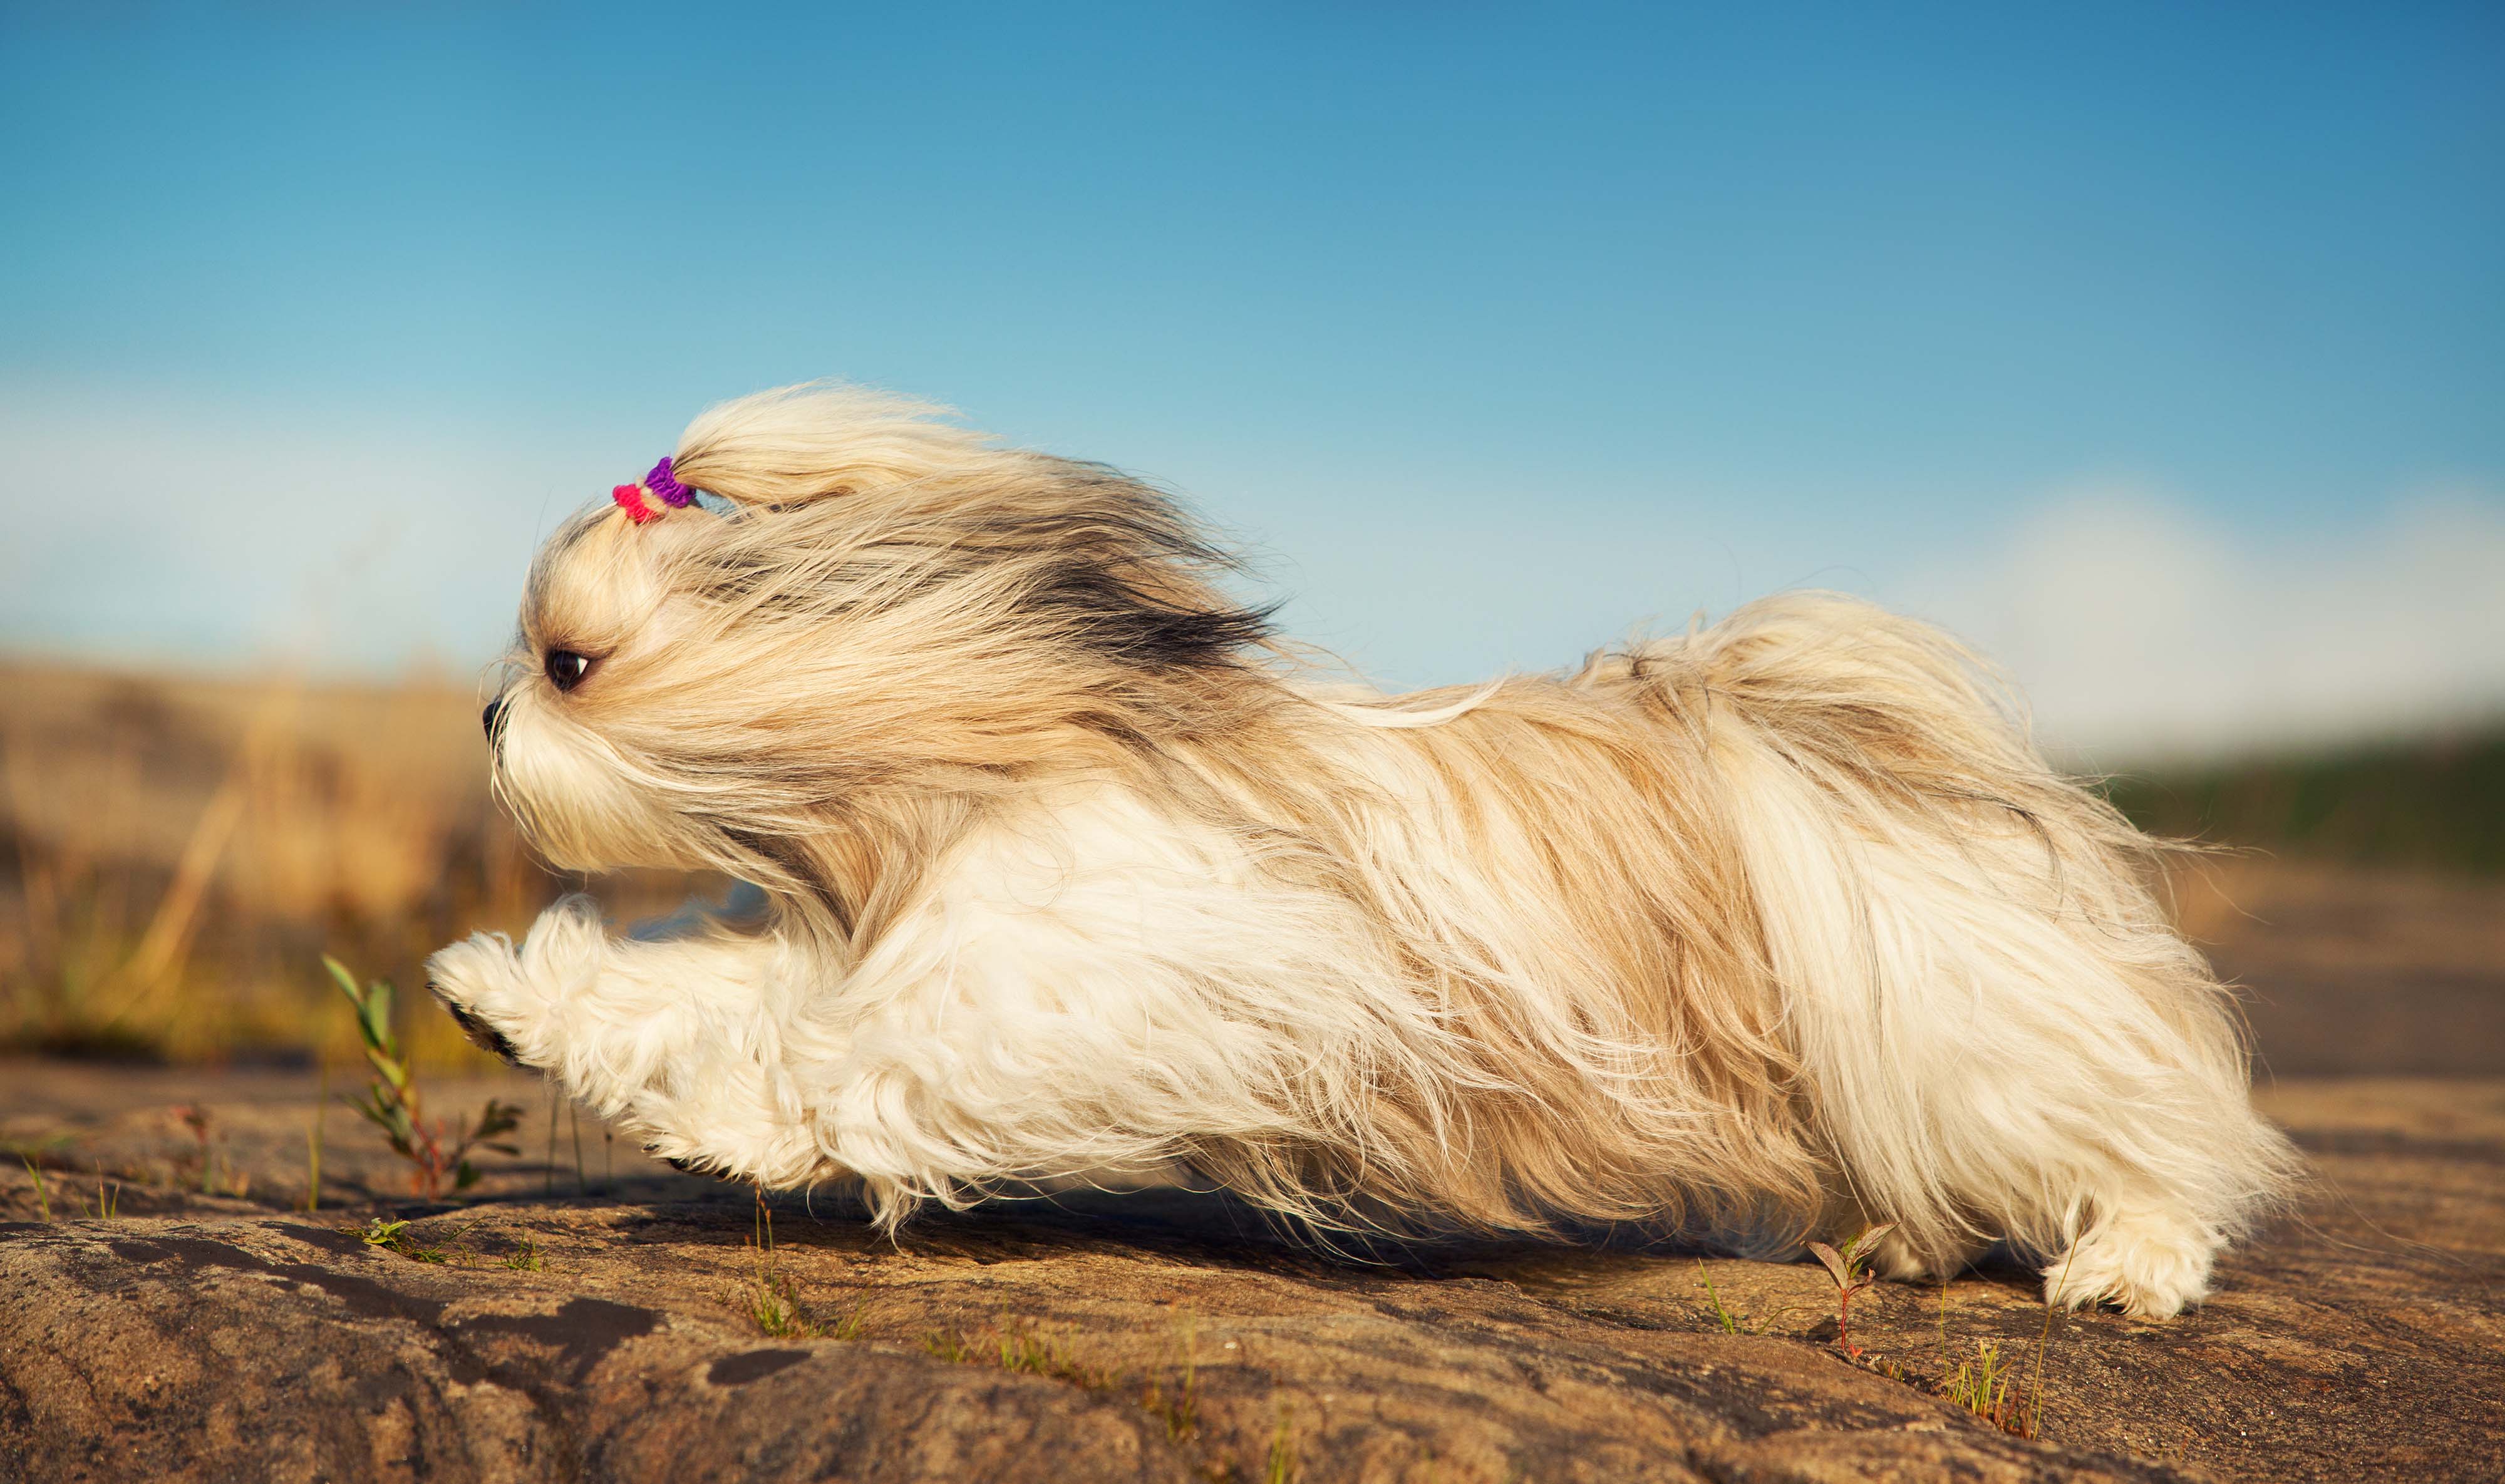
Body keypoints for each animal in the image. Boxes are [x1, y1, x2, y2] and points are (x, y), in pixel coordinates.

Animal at [431, 378, 2295, 1313]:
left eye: (570, 661)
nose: (489, 717)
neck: (967, 766)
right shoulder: (899, 931)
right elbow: (710, 989)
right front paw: (502, 992)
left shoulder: (1093, 980)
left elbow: (861, 1065)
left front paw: (730, 1127)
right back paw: (1905, 1240)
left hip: (1962, 1015)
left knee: (2149, 1141)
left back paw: (2123, 1267)